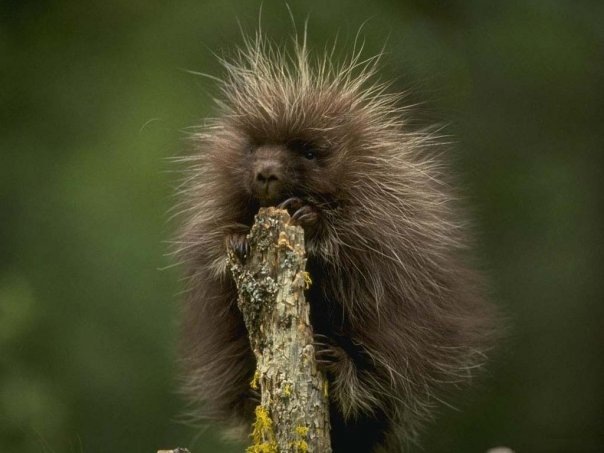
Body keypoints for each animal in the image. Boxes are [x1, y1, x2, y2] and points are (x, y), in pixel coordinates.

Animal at [174, 33, 496, 452]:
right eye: (254, 148)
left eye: (309, 153)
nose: (265, 173)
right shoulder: (222, 196)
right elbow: (214, 234)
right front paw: (237, 238)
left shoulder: (381, 205)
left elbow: (358, 240)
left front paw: (308, 217)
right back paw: (259, 391)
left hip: (403, 328)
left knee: (384, 376)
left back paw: (339, 363)